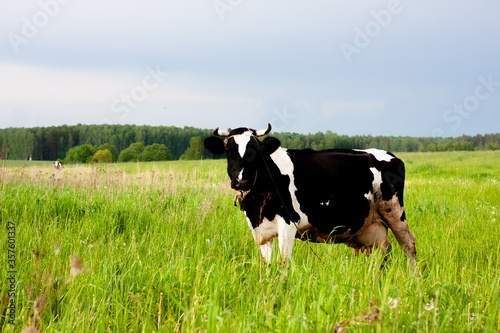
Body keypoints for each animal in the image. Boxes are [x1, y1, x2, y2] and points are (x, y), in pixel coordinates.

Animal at [204, 123, 418, 264]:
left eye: (255, 150)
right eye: (228, 149)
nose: (241, 180)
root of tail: (391, 156)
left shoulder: (288, 221)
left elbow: (283, 262)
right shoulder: (261, 230)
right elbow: (268, 263)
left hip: (394, 212)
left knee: (409, 245)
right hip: (374, 225)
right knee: (383, 250)